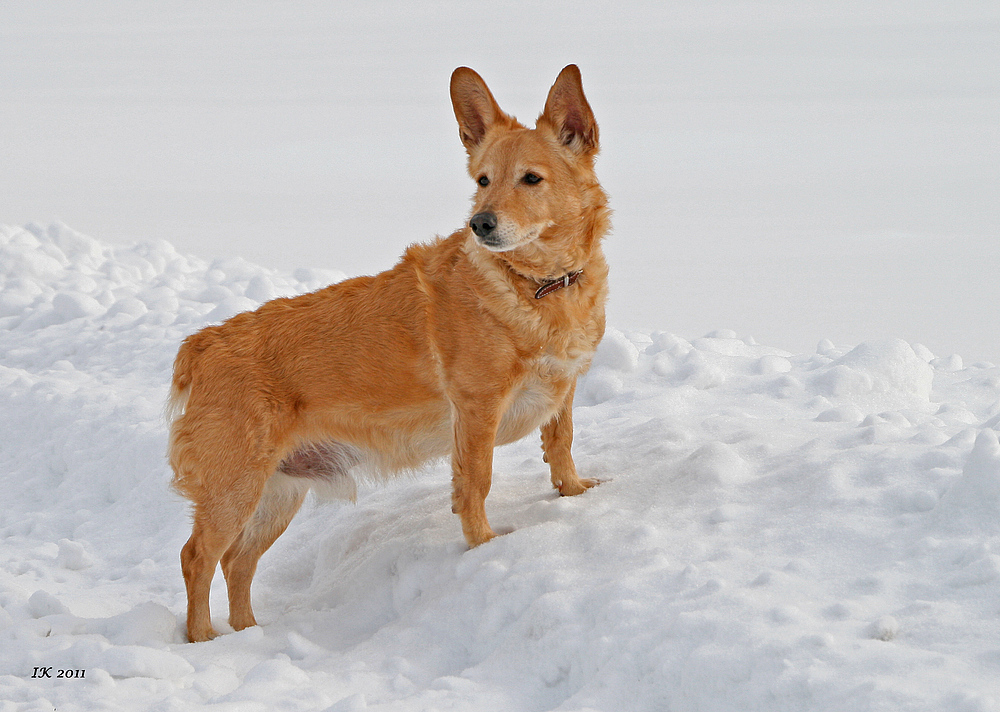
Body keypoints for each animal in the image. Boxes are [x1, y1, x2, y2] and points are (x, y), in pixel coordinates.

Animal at [166, 65, 608, 644]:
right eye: (482, 181)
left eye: (531, 179)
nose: (481, 224)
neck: (536, 285)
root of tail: (201, 346)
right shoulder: (477, 410)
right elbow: (475, 485)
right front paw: (486, 546)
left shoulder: (562, 390)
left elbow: (561, 445)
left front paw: (576, 494)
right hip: (233, 490)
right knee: (196, 558)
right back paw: (204, 641)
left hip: (278, 496)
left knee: (237, 564)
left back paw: (248, 635)